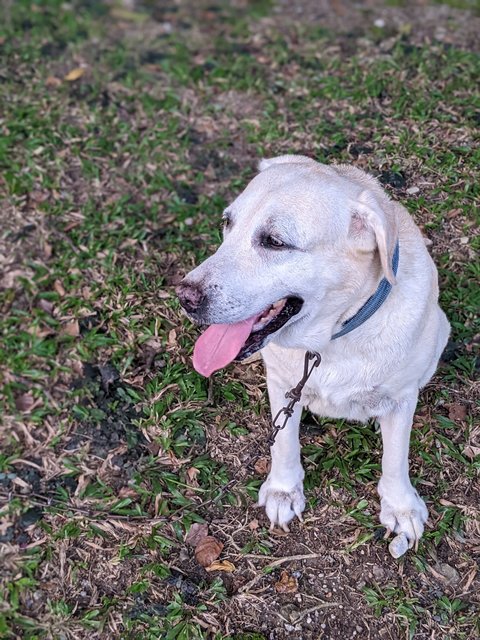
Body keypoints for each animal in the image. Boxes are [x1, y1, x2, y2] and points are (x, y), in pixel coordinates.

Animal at [176, 156, 450, 552]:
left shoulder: (401, 398)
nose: (184, 297)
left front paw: (401, 507)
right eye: (228, 223)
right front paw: (283, 489)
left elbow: (396, 458)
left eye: (275, 242)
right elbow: (283, 443)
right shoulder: (283, 385)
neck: (330, 338)